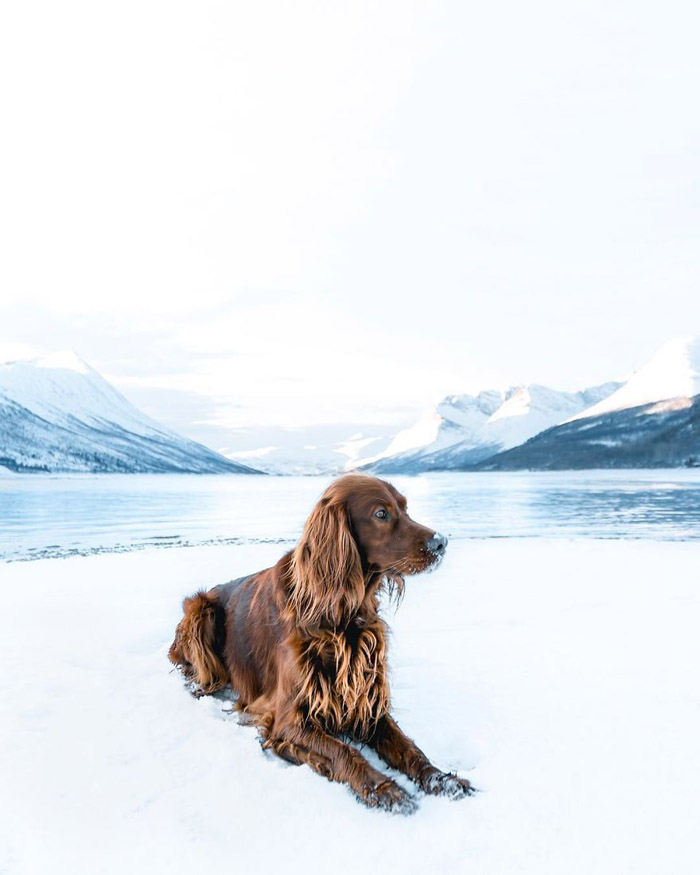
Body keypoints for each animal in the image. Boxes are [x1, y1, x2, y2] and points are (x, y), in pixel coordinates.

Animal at [170, 472, 476, 816]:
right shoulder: (288, 721)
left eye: (405, 508)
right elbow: (343, 751)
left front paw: (441, 779)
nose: (441, 542)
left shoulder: (366, 702)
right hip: (201, 610)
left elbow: (408, 747)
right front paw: (384, 790)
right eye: (380, 513)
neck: (341, 612)